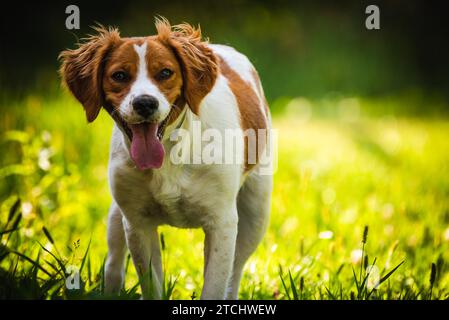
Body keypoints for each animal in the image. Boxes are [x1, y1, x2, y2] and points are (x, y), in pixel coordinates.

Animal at [57, 18, 272, 300]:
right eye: (119, 76)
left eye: (165, 73)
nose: (145, 103)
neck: (172, 151)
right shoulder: (137, 223)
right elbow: (151, 283)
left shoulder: (222, 223)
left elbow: (215, 286)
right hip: (117, 216)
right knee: (114, 263)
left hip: (255, 213)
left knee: (234, 274)